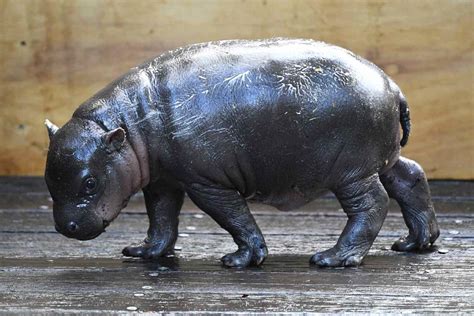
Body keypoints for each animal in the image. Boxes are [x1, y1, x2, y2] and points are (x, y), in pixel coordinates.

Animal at [45, 38, 440, 268]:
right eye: (49, 179)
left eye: (90, 182)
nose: (65, 227)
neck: (128, 125)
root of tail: (392, 85)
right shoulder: (163, 180)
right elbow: (161, 218)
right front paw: (144, 253)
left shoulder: (205, 183)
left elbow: (232, 216)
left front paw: (240, 260)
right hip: (382, 158)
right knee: (411, 176)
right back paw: (414, 243)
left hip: (351, 170)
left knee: (372, 203)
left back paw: (332, 258)